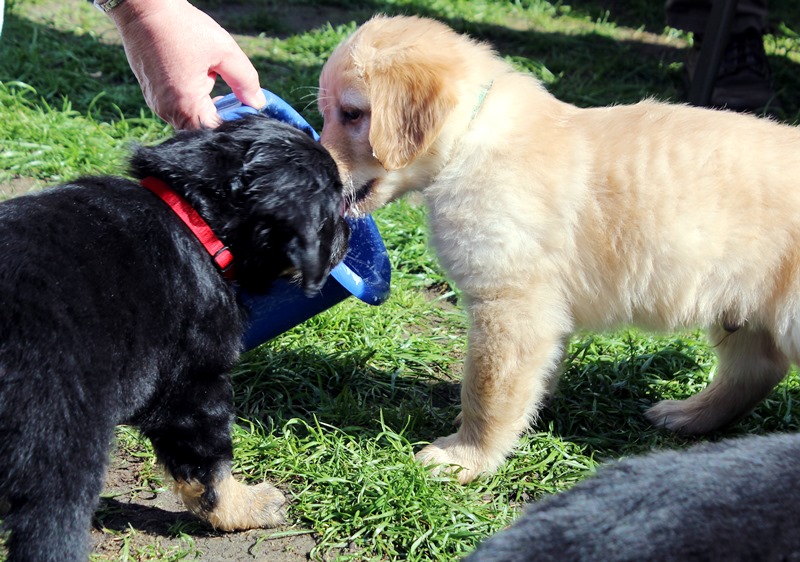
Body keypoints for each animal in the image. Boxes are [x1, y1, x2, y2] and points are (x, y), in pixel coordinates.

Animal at [0, 115, 350, 561]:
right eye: (336, 206)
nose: (349, 232)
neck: (192, 218)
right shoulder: (192, 386)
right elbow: (210, 466)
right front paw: (248, 507)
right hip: (59, 440)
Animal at [317, 14, 800, 483]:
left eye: (353, 113)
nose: (318, 166)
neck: (471, 139)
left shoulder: (510, 303)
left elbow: (487, 389)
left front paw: (465, 456)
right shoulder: (539, 312)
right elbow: (528, 378)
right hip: (741, 306)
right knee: (758, 370)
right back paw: (689, 415)